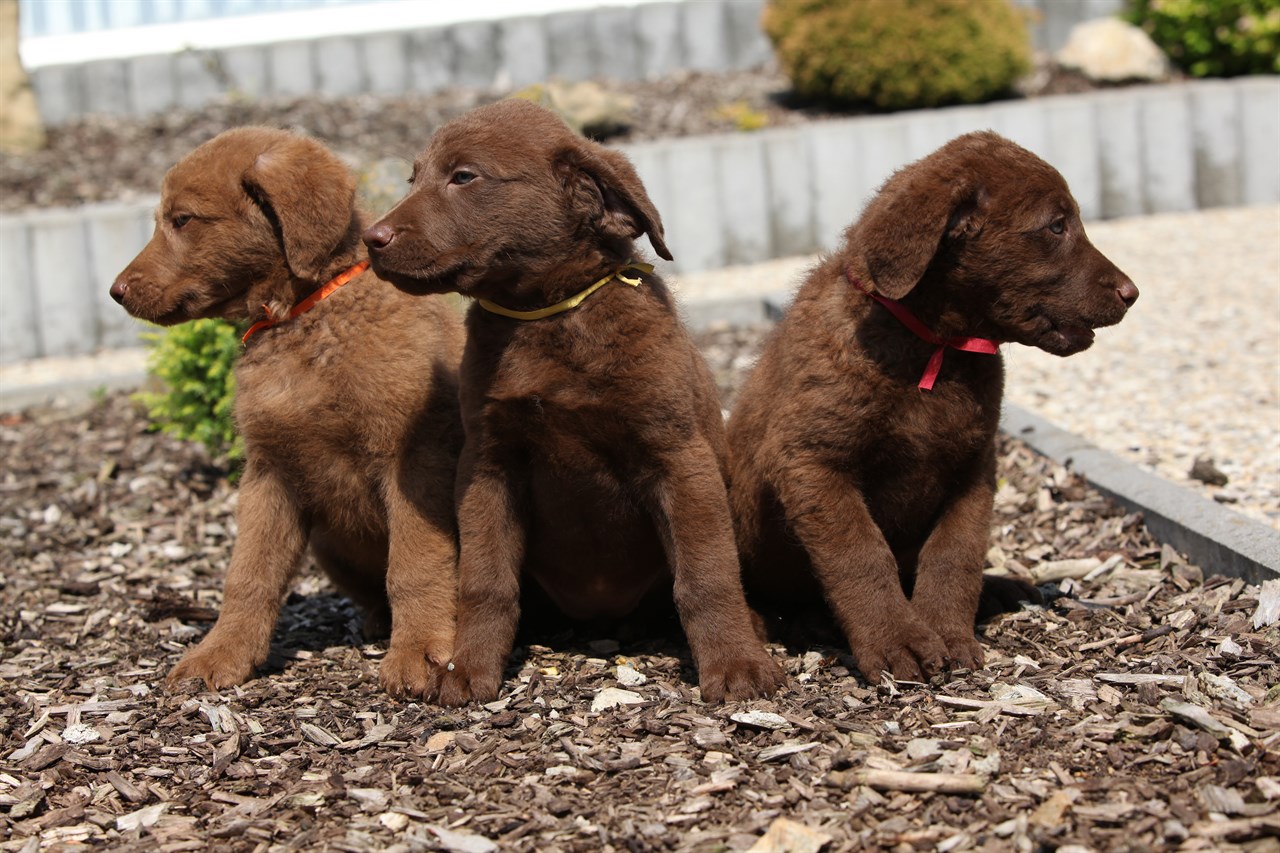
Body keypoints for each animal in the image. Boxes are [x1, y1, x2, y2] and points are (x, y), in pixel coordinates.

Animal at [110, 128, 460, 696]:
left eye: (182, 220)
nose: (115, 291)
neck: (304, 319)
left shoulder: (412, 459)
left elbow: (415, 563)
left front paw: (420, 652)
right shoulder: (268, 471)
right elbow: (248, 575)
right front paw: (221, 654)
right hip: (329, 545)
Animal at [727, 131, 1136, 676]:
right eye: (1056, 225)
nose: (1132, 293)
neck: (934, 348)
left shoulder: (974, 465)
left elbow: (954, 553)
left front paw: (945, 631)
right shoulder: (809, 461)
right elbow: (862, 552)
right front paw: (897, 639)